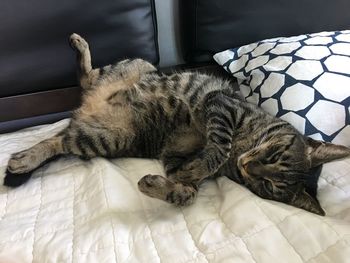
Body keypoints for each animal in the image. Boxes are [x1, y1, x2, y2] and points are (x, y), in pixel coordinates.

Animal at [3, 33, 350, 217]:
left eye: (269, 186)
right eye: (274, 155)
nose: (248, 166)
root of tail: (87, 106)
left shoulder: (174, 156)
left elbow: (187, 192)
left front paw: (164, 185)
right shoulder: (221, 105)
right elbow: (218, 149)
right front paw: (203, 165)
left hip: (104, 139)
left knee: (59, 139)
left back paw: (23, 159)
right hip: (137, 65)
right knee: (86, 79)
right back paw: (79, 46)